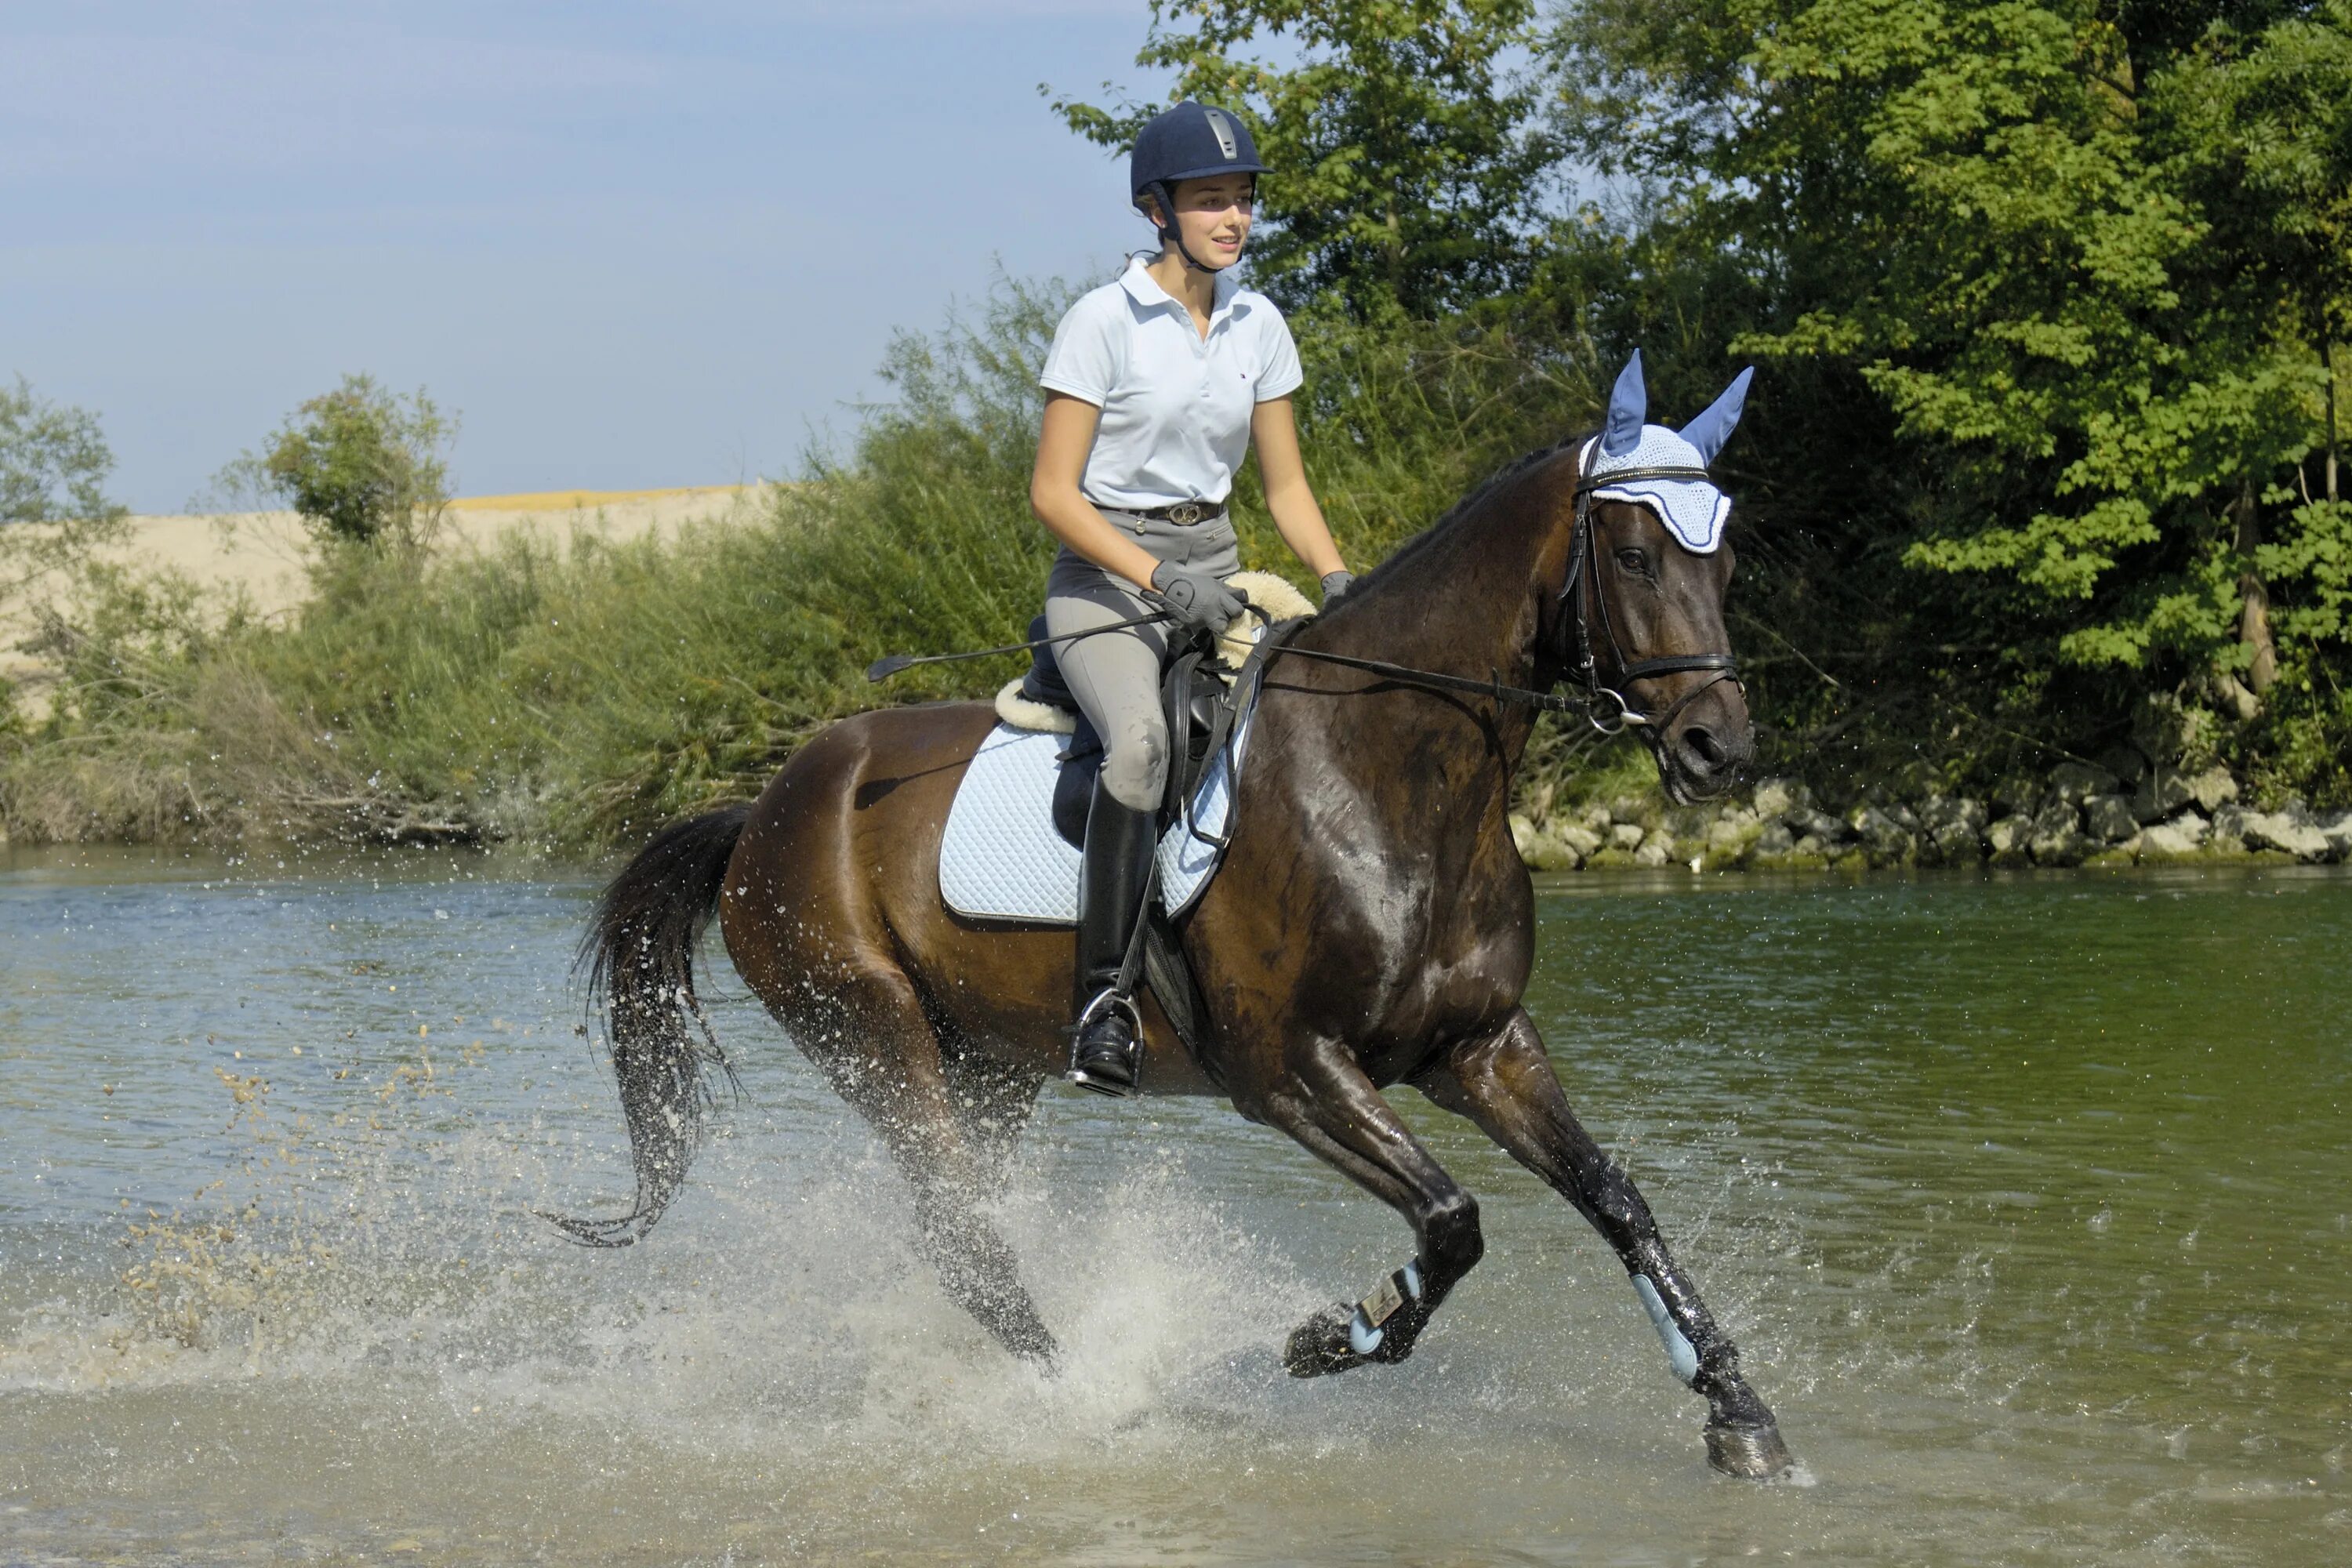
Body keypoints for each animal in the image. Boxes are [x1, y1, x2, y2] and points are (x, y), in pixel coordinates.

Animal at [560, 359, 1788, 1486]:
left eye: (1725, 561)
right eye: (1634, 557)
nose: (1717, 747)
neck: (1391, 772)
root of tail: (763, 809)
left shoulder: (1480, 1046)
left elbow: (1617, 1200)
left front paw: (1740, 1411)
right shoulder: (1288, 1069)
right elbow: (1451, 1220)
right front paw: (1331, 1335)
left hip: (989, 1063)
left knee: (971, 1228)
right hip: (873, 1033)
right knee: (963, 1238)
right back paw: (1086, 1397)